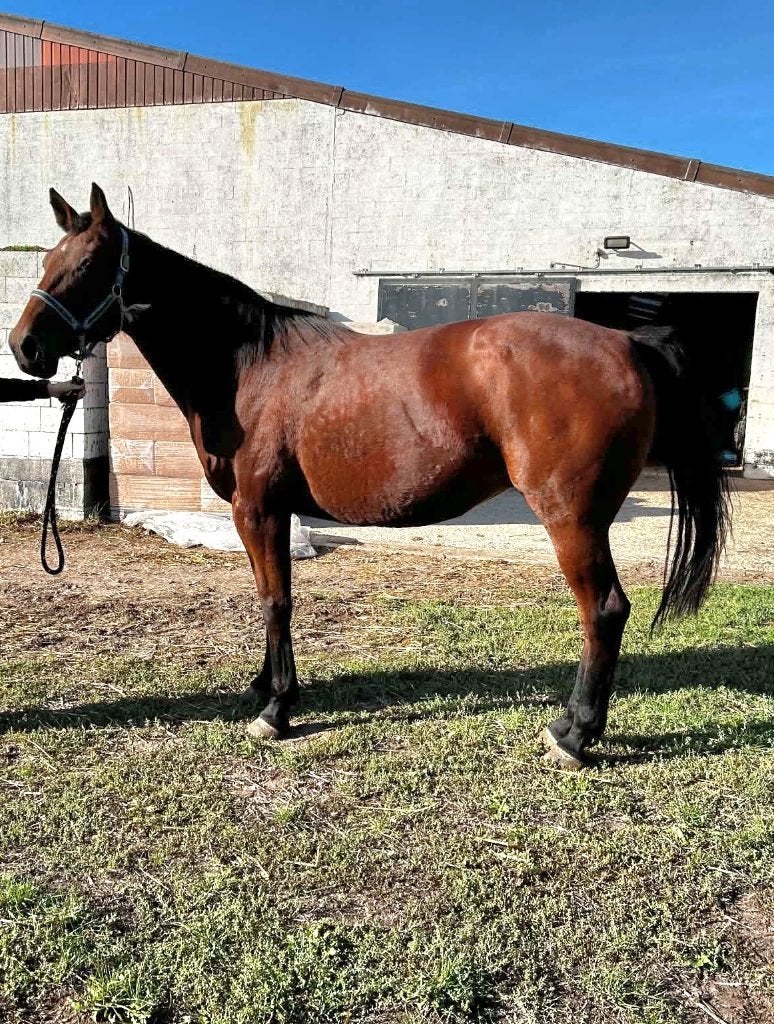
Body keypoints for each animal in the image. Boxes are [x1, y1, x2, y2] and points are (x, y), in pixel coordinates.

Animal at [9, 184, 730, 769]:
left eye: (85, 266)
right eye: (44, 263)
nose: (25, 348)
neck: (249, 367)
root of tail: (626, 342)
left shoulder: (259, 508)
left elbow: (277, 601)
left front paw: (276, 711)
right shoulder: (266, 512)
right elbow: (268, 597)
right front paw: (262, 687)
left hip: (571, 517)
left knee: (603, 610)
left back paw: (574, 736)